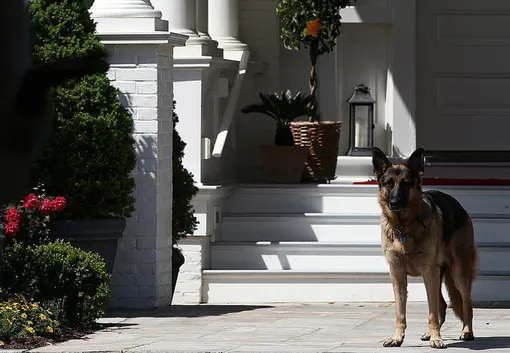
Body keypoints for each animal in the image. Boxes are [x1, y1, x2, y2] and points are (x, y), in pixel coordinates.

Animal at [370, 147, 478, 348]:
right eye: (389, 184)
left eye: (406, 184)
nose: (394, 203)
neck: (403, 226)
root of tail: (459, 206)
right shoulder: (398, 274)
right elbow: (400, 312)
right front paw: (397, 338)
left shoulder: (429, 273)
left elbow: (432, 313)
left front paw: (437, 339)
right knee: (442, 304)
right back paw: (431, 334)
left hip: (457, 274)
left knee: (467, 303)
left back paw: (467, 331)